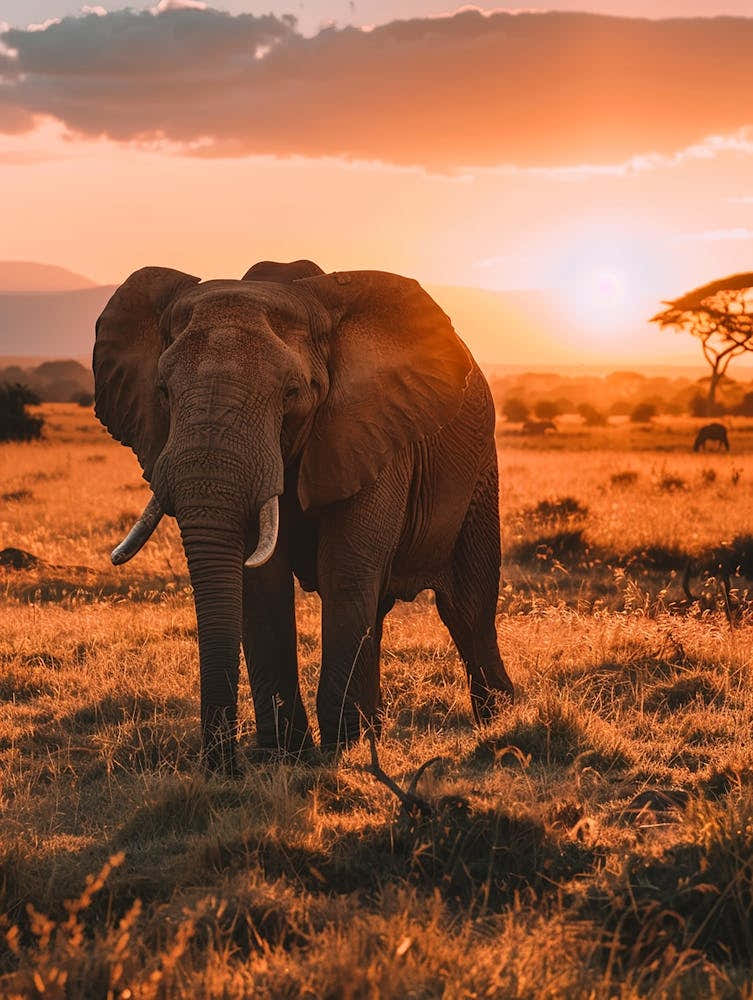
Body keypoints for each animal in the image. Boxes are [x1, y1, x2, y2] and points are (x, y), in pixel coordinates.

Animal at [93, 260, 514, 773]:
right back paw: (375, 733)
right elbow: (261, 582)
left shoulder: (374, 431)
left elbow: (344, 570)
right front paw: (286, 756)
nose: (223, 766)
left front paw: (337, 754)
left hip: (480, 470)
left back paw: (498, 724)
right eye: (163, 392)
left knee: (466, 608)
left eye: (292, 393)